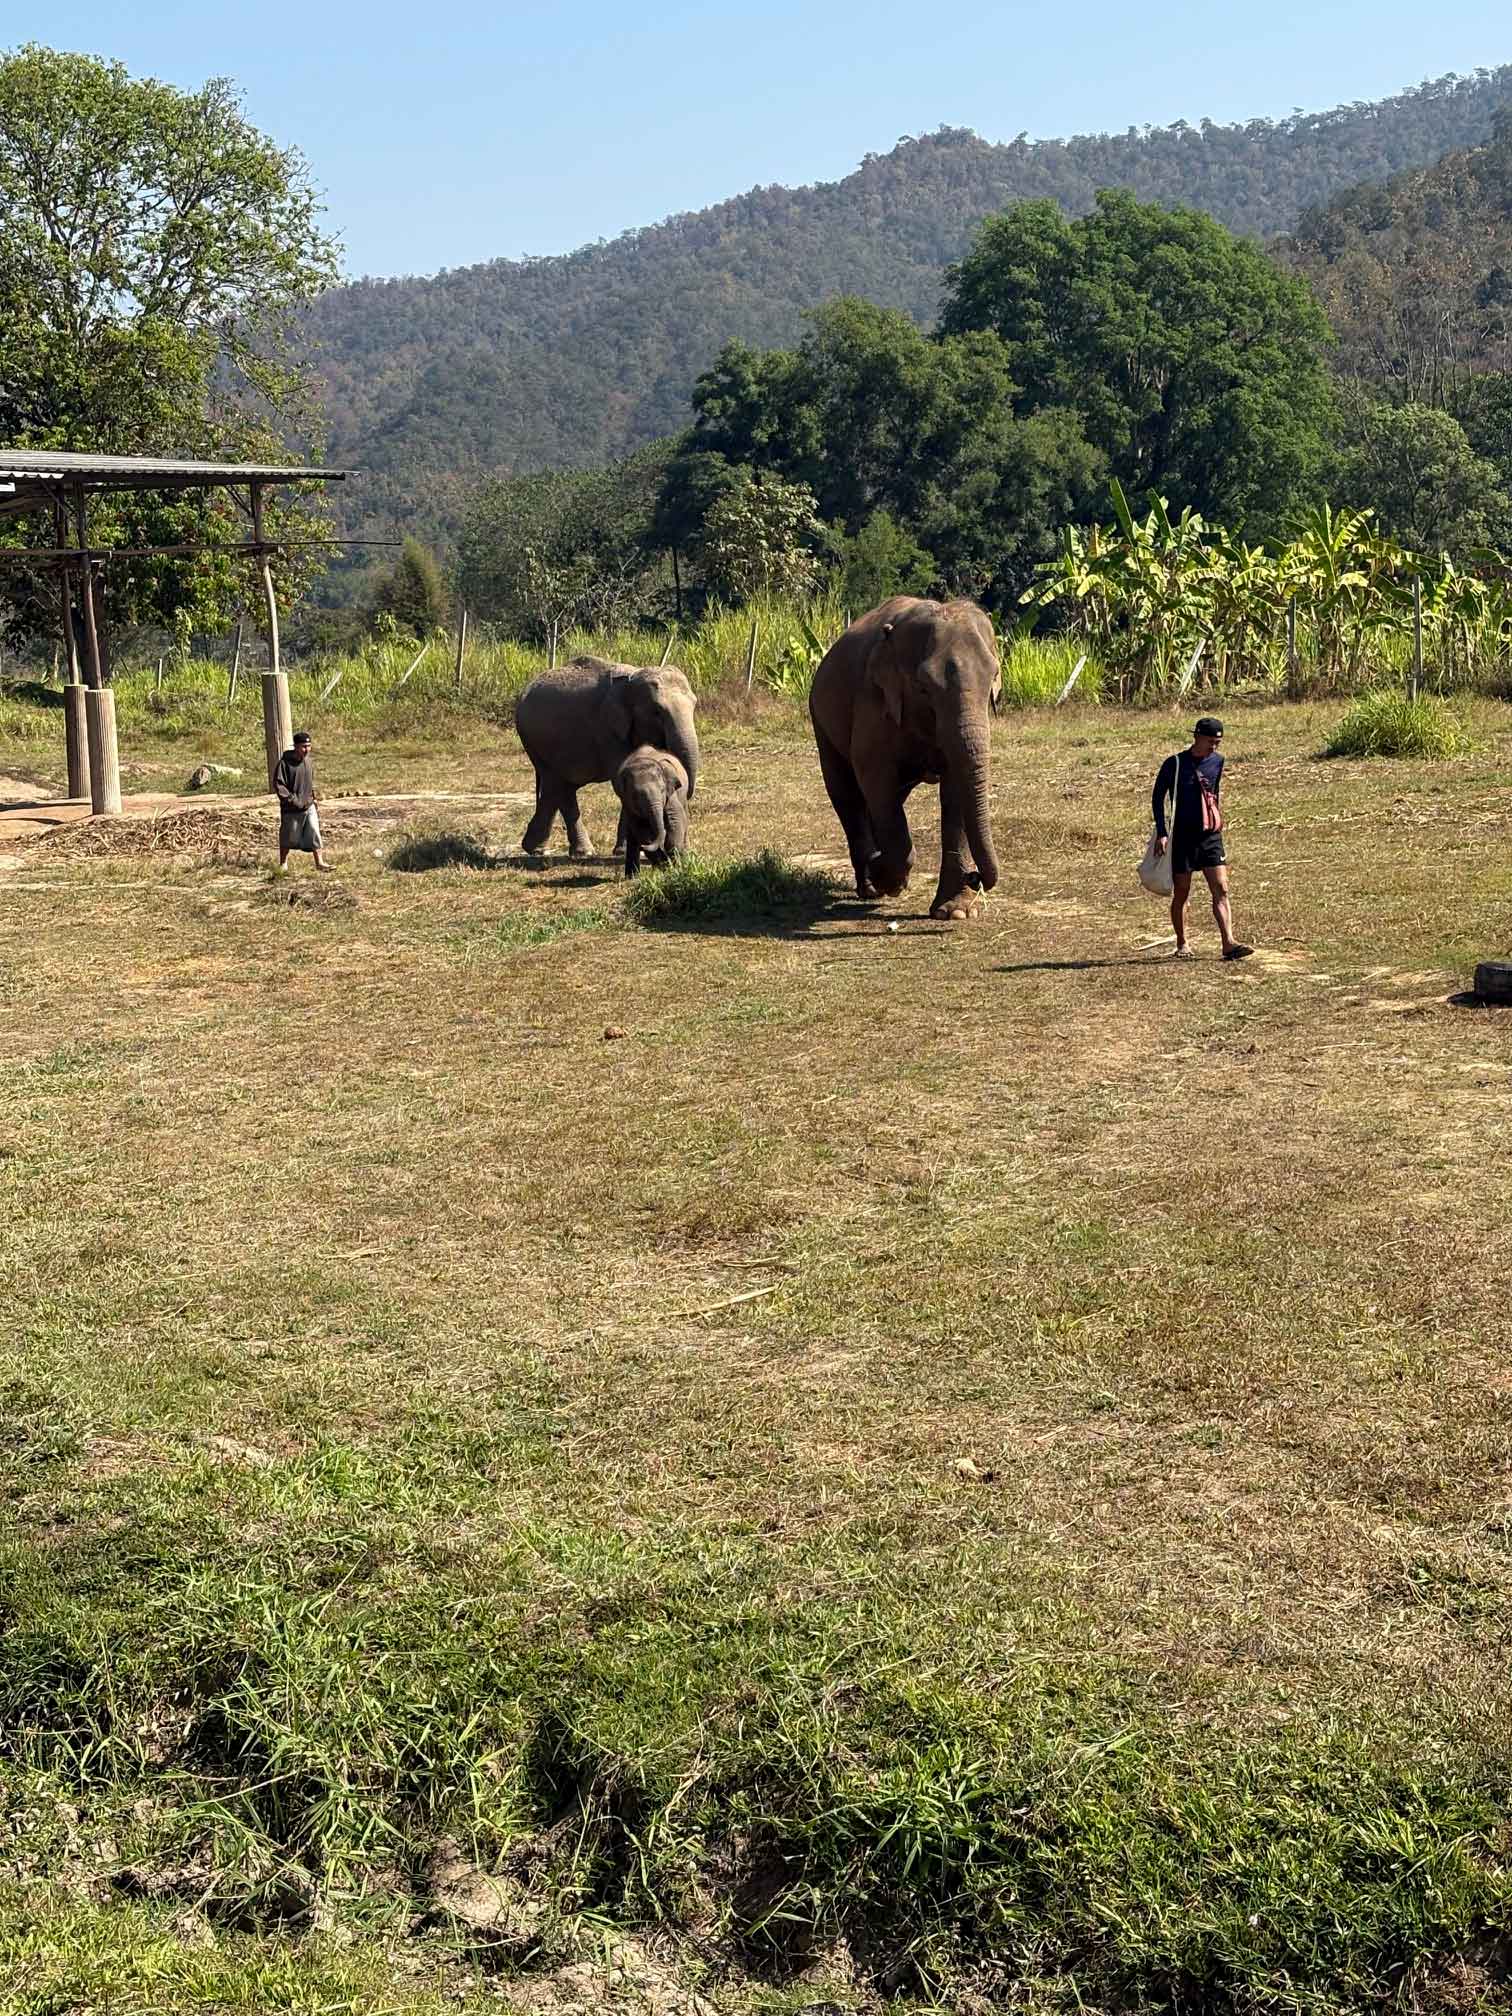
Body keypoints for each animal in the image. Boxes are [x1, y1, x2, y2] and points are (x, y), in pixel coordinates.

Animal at [516, 657, 699, 857]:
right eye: (657, 711)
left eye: (694, 704)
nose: (686, 792)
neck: (632, 678)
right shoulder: (609, 731)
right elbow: (620, 778)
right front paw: (623, 851)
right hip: (536, 743)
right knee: (556, 784)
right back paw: (578, 852)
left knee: (559, 788)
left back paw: (539, 849)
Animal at [612, 746, 689, 877]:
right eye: (635, 795)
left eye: (662, 790)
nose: (643, 848)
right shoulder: (627, 802)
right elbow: (641, 829)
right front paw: (665, 865)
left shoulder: (671, 795)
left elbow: (675, 820)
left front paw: (675, 866)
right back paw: (632, 876)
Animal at [809, 596, 1002, 920]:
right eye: (924, 687)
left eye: (994, 677)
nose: (974, 877)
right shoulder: (874, 706)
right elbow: (874, 778)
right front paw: (882, 873)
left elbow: (956, 789)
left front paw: (954, 912)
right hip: (821, 723)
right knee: (846, 793)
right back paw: (870, 885)